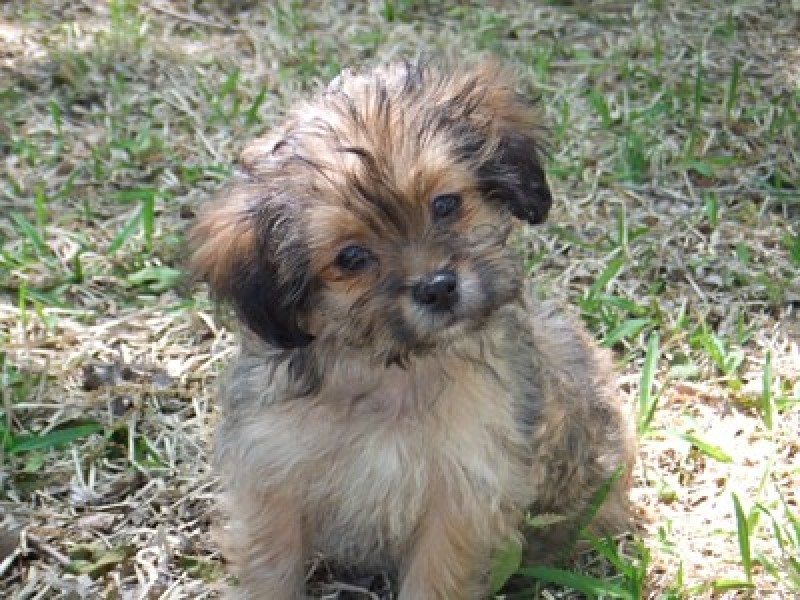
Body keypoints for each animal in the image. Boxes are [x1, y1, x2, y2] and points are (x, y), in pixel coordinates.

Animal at [191, 61, 636, 600]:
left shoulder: (462, 497)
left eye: (446, 204)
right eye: (351, 257)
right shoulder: (271, 476)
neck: (388, 372)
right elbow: (271, 569)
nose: (438, 287)